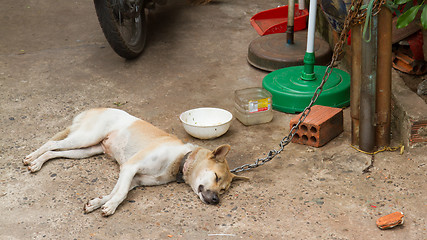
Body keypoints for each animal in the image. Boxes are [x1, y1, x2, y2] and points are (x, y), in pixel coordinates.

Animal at [24, 108, 247, 217]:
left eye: (224, 190)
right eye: (216, 177)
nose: (216, 200)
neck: (179, 160)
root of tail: (95, 108)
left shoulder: (132, 178)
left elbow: (115, 192)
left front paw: (99, 203)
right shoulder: (129, 167)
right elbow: (121, 193)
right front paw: (111, 207)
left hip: (86, 150)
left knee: (54, 152)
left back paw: (38, 162)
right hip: (85, 138)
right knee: (52, 143)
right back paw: (33, 158)